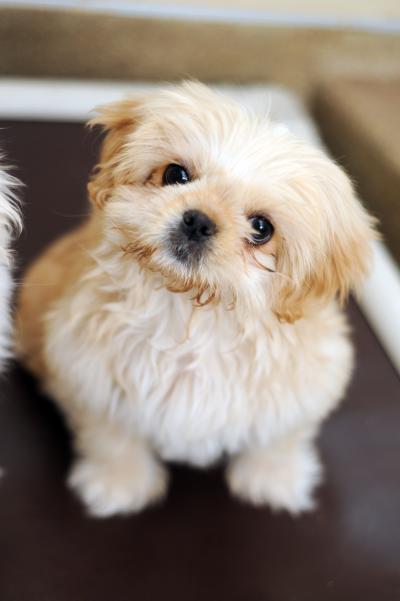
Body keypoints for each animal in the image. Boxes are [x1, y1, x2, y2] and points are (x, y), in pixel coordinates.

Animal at [14, 83, 376, 516]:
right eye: (176, 174)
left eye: (261, 228)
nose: (199, 221)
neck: (193, 315)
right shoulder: (90, 373)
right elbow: (112, 437)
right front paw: (119, 482)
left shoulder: (305, 385)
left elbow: (278, 437)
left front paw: (273, 479)